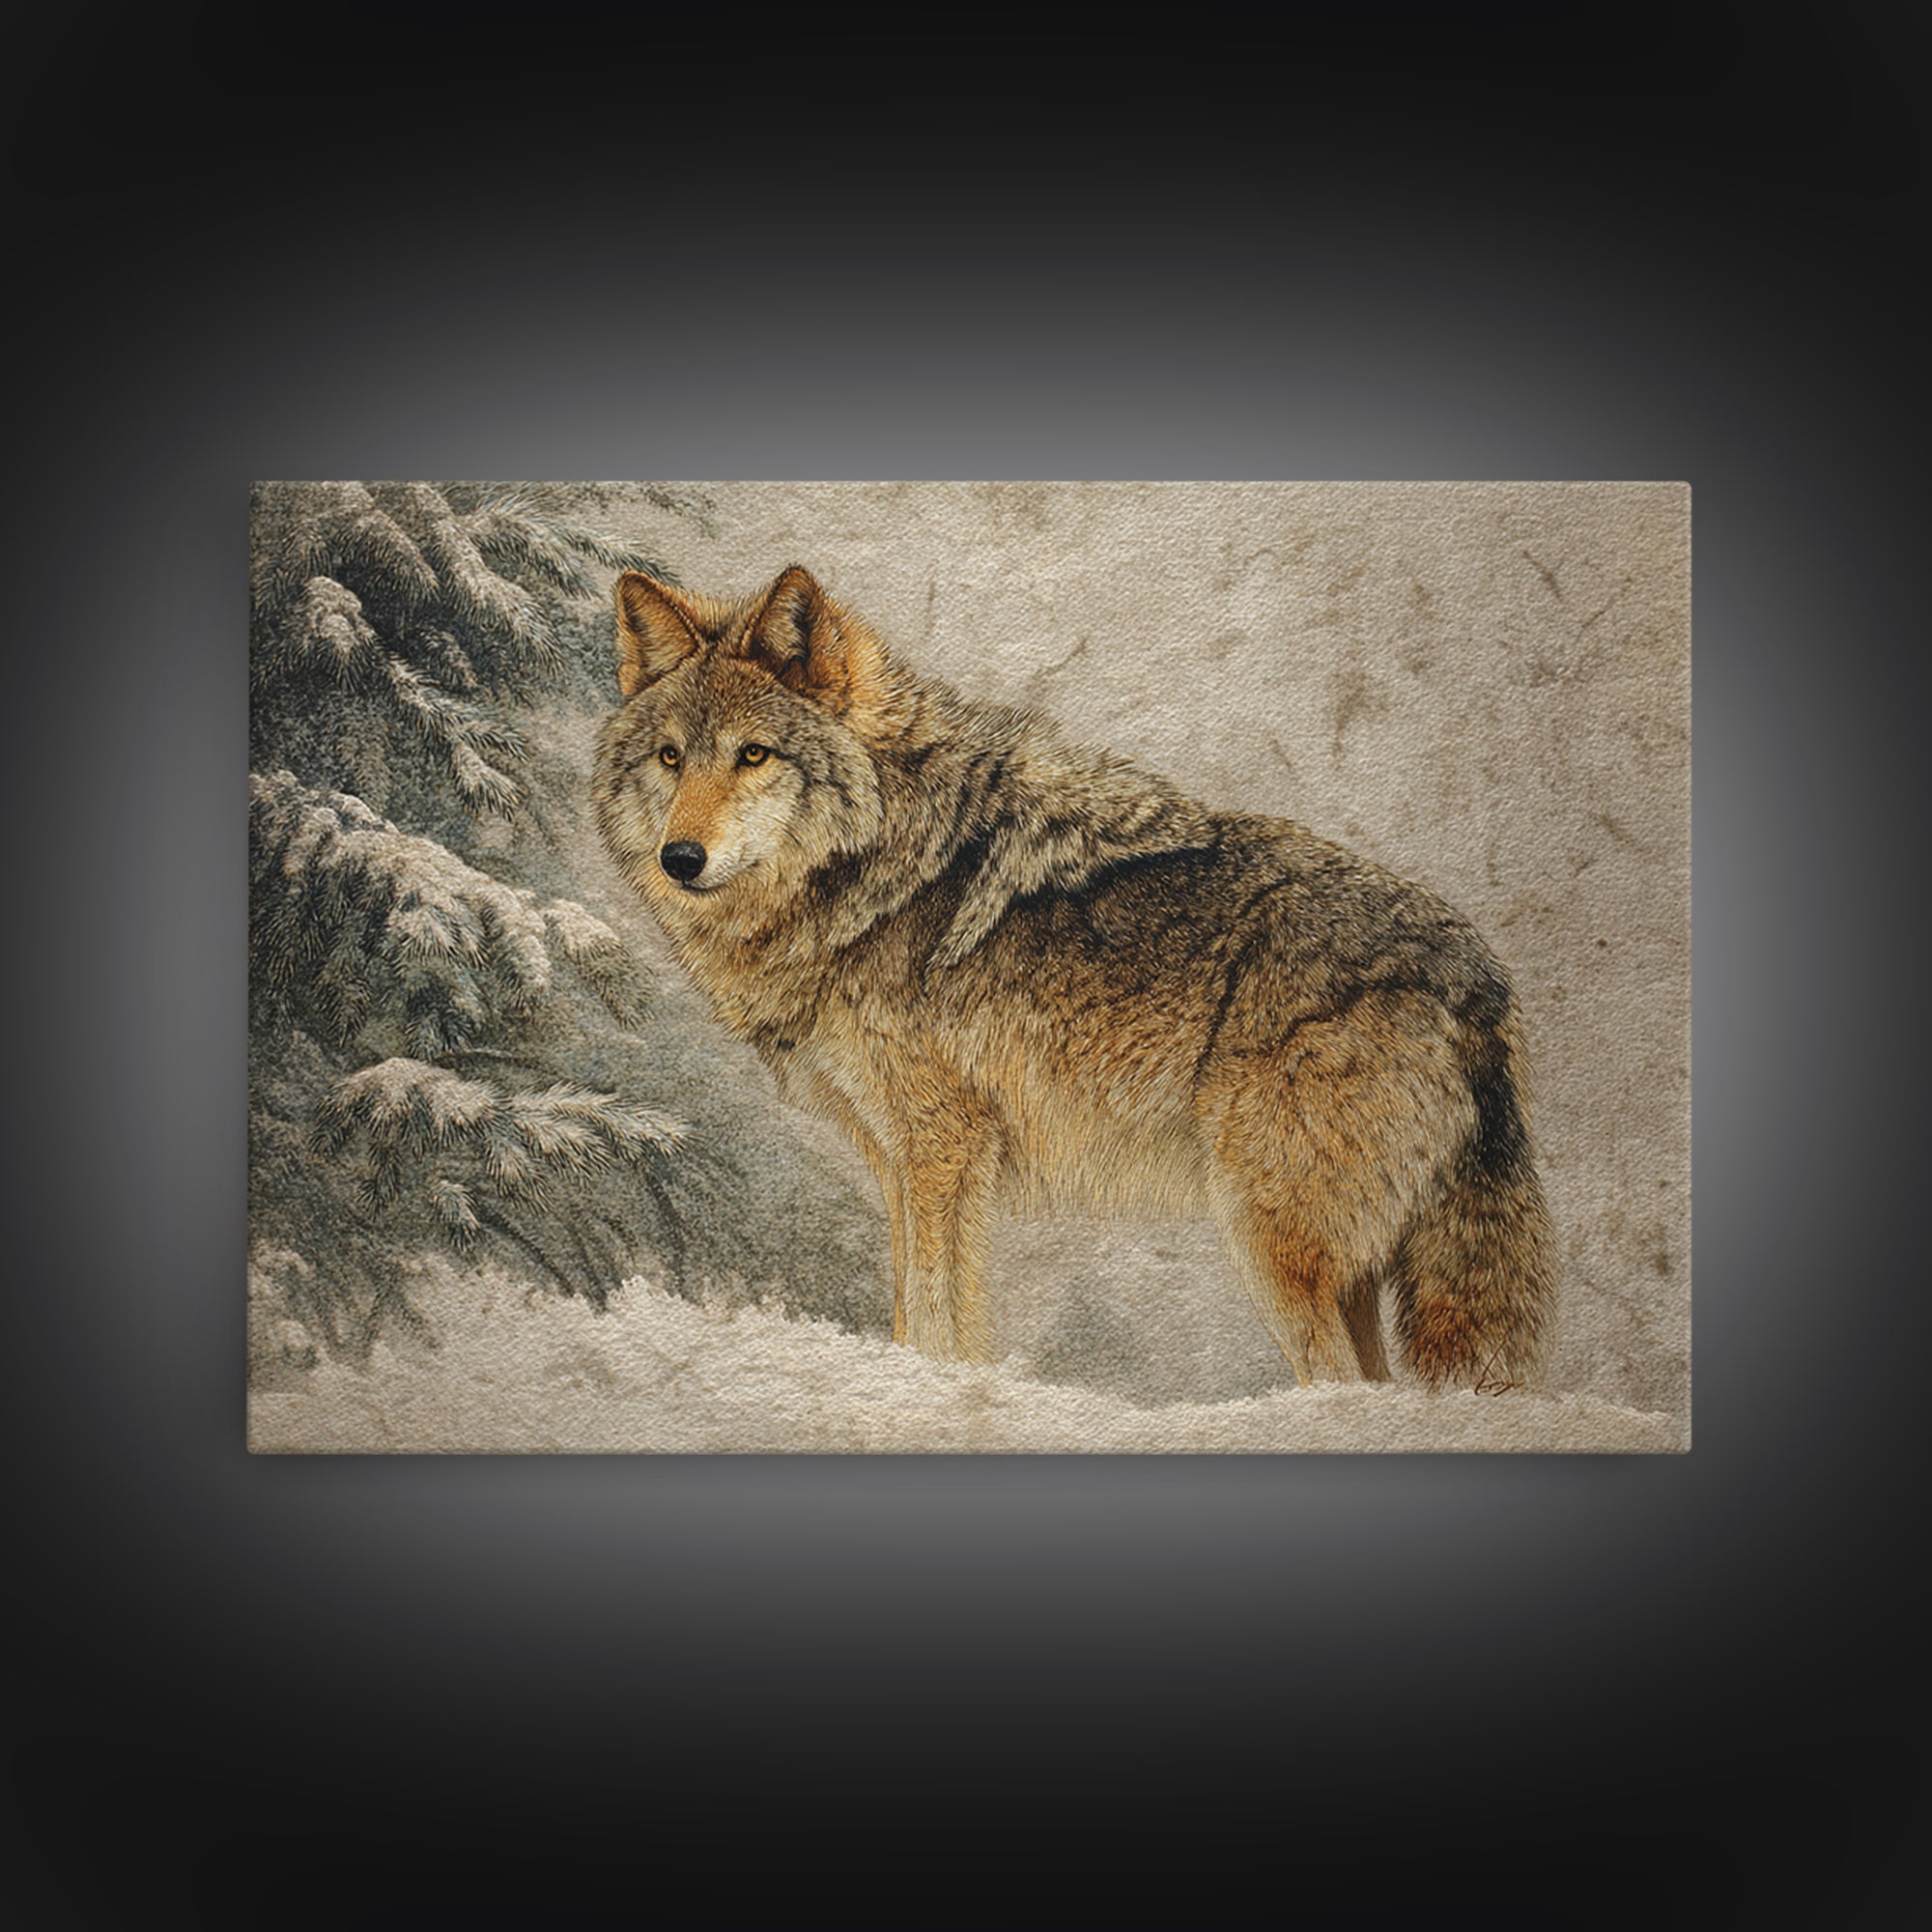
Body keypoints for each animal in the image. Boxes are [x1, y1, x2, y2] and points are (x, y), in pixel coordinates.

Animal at [593, 564, 1555, 1387]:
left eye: (754, 755)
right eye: (671, 758)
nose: (681, 858)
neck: (876, 866)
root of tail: (1478, 975)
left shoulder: (943, 1148)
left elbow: (936, 1316)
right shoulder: (898, 1157)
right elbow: (913, 1310)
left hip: (1270, 1240)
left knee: (1339, 1381)